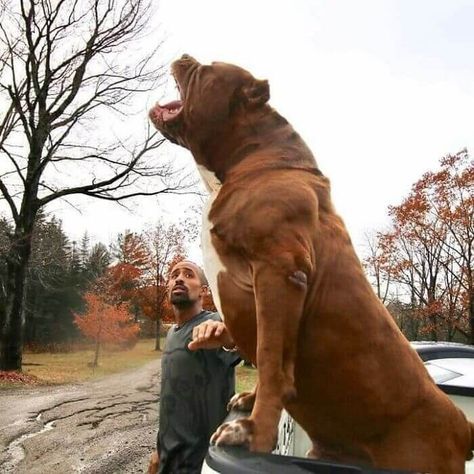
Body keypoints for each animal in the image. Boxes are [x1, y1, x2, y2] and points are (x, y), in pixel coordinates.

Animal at [149, 54, 474, 470]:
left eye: (206, 69)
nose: (185, 56)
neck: (249, 158)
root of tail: (462, 428)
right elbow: (263, 355)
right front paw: (249, 401)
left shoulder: (279, 272)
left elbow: (271, 359)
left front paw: (253, 432)